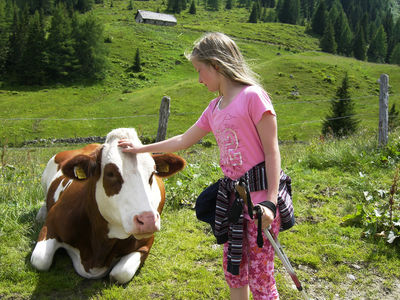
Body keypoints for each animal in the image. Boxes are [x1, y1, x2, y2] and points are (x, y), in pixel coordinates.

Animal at [30, 128, 186, 284]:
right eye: (110, 173)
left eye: (152, 173)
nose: (147, 220)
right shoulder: (52, 224)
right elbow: (40, 260)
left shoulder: (146, 242)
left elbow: (120, 274)